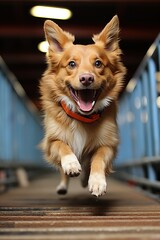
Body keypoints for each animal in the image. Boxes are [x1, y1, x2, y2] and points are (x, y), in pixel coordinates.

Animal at [40, 16, 126, 197]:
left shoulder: (108, 144)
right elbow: (62, 145)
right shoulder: (50, 142)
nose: (86, 78)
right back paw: (63, 185)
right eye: (72, 64)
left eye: (98, 63)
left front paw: (96, 181)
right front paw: (71, 163)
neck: (82, 116)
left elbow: (98, 158)